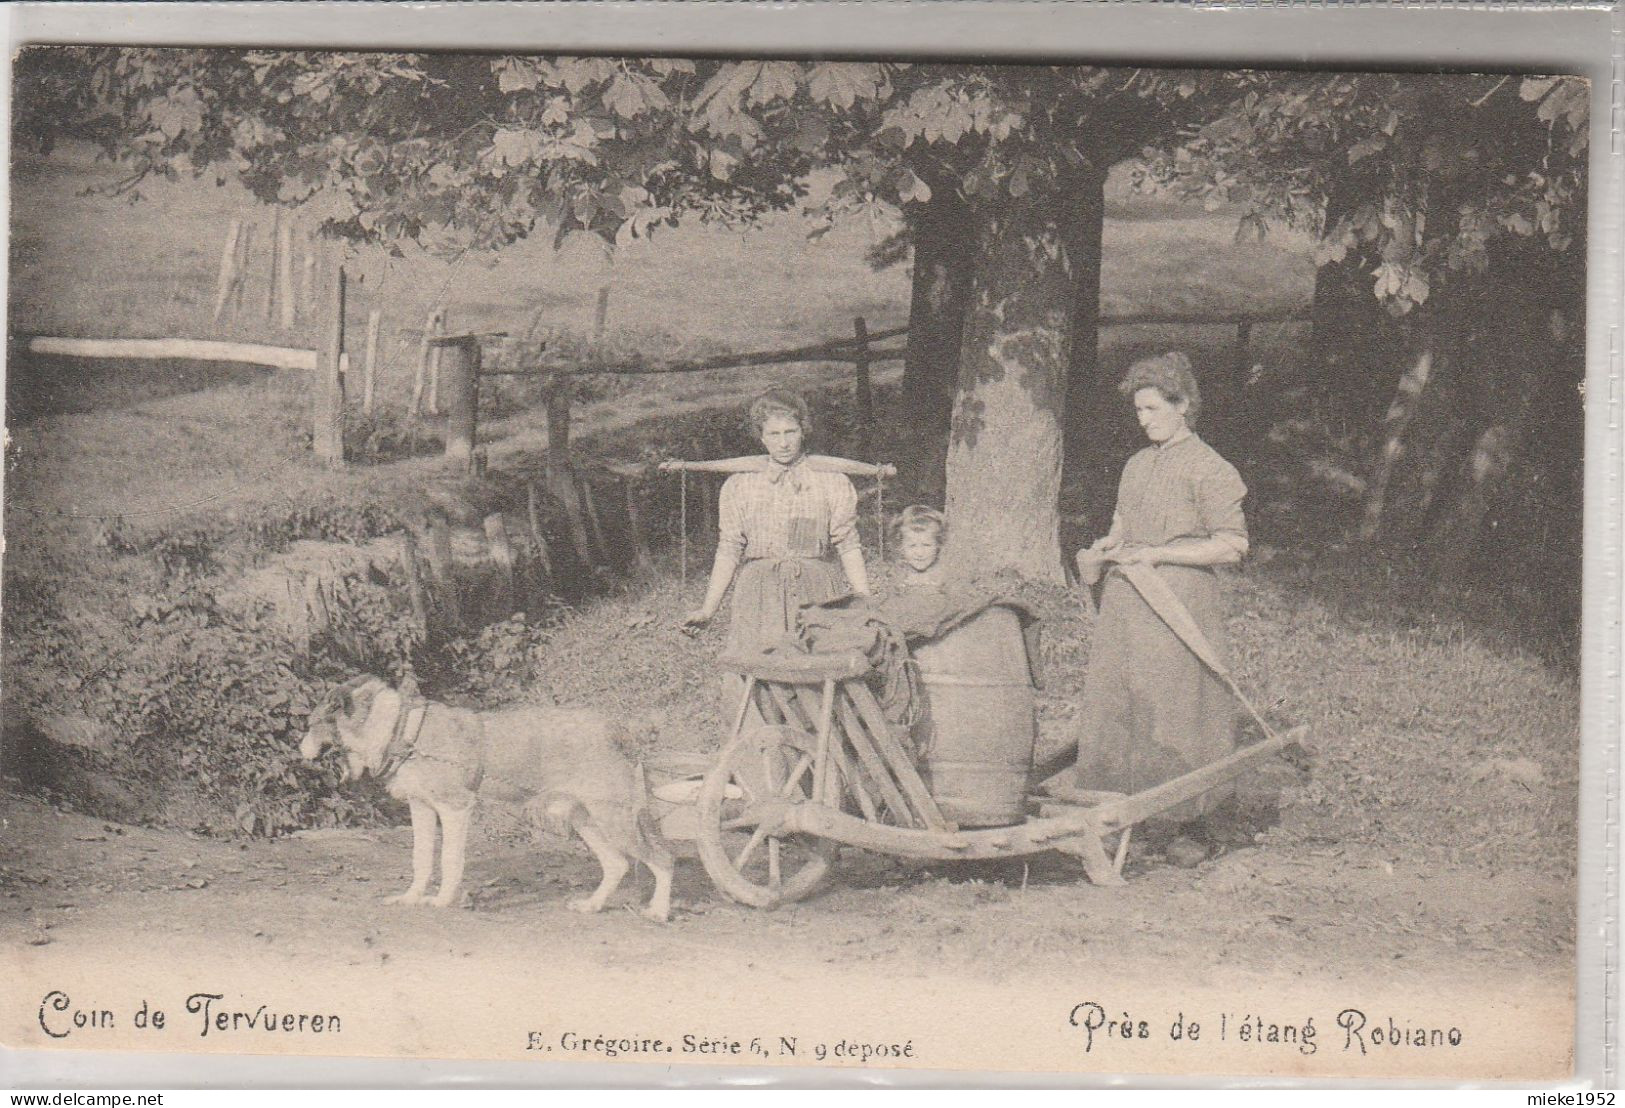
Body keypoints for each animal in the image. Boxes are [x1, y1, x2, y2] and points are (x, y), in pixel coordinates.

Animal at [302, 679, 676, 916]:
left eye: (310, 724)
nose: (298, 747)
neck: (400, 729)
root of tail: (618, 729)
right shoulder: (421, 808)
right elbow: (421, 860)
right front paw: (411, 898)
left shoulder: (454, 808)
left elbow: (450, 860)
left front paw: (442, 901)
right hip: (583, 817)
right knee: (617, 864)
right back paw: (592, 906)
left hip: (614, 819)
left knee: (663, 858)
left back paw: (658, 912)